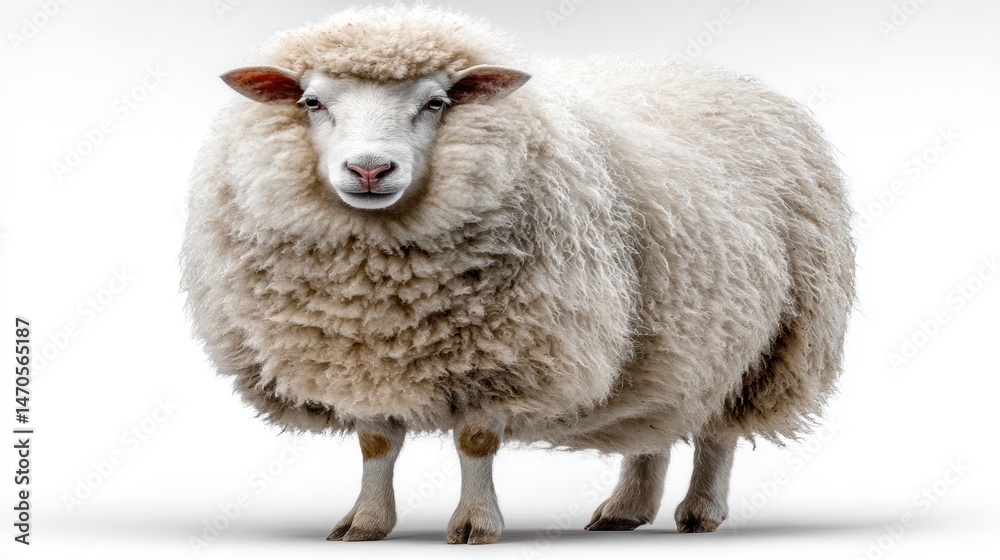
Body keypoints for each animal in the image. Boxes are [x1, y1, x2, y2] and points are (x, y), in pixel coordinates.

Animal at [180, 5, 855, 544]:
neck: (383, 289)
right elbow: (376, 444)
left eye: (437, 102)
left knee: (718, 431)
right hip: (670, 341)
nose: (370, 169)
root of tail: (719, 77)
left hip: (770, 344)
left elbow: (475, 443)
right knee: (654, 420)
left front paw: (476, 526)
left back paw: (700, 512)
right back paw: (626, 509)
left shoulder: (509, 353)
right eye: (312, 102)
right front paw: (364, 524)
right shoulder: (359, 361)